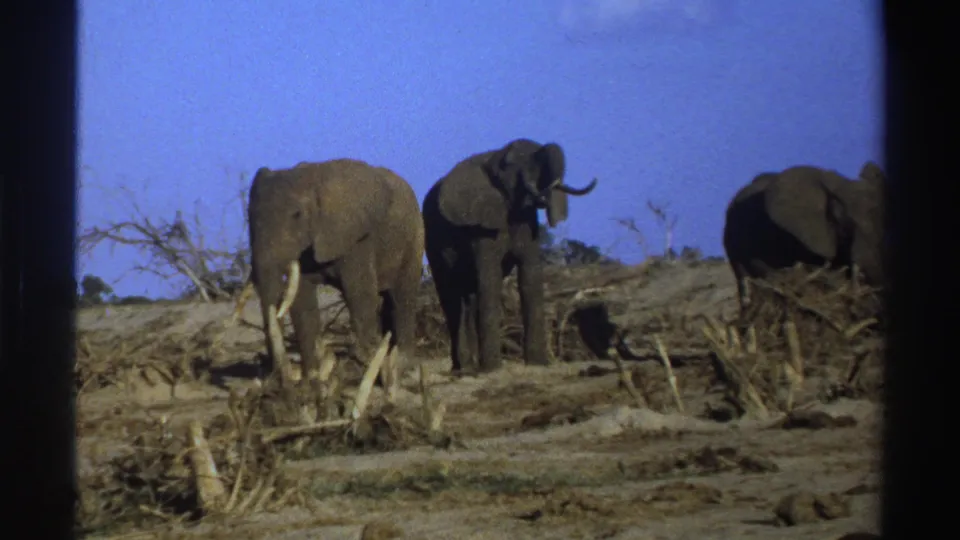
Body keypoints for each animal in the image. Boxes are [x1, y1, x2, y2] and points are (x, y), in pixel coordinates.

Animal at [239, 158, 424, 397]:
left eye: (297, 214)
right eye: (249, 216)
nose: (281, 382)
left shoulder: (356, 238)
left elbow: (359, 295)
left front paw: (364, 367)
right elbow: (302, 302)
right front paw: (312, 381)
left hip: (413, 237)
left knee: (402, 298)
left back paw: (399, 370)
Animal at [422, 138, 598, 374]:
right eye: (509, 164)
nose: (544, 195)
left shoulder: (528, 223)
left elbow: (530, 277)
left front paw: (538, 363)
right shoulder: (482, 224)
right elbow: (490, 279)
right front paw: (492, 369)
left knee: (469, 297)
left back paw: (470, 367)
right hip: (431, 241)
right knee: (451, 297)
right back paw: (464, 369)